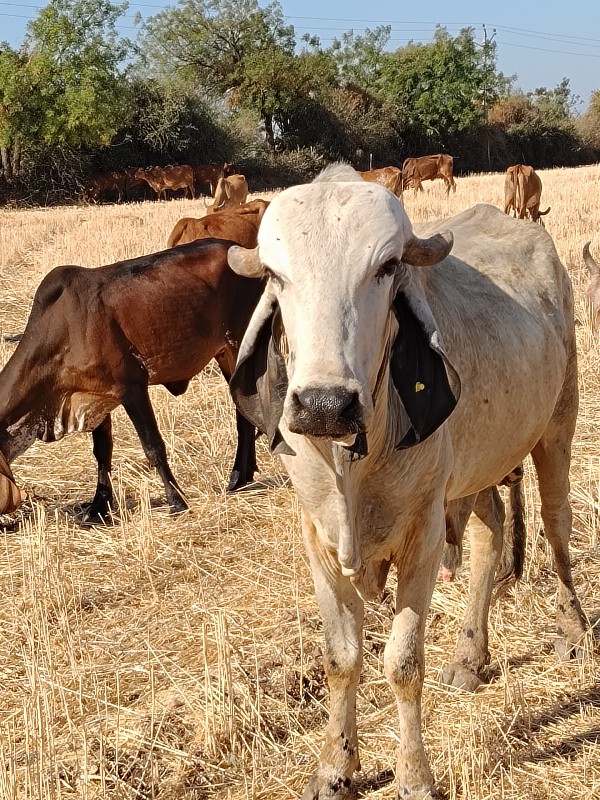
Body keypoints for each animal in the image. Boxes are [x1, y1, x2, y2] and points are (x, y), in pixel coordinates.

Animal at [0, 238, 262, 524]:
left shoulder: (132, 387)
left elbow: (153, 446)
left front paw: (177, 501)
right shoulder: (98, 398)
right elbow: (102, 453)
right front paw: (98, 506)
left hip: (238, 346)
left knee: (244, 411)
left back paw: (237, 478)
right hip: (224, 354)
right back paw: (245, 474)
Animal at [226, 164, 584, 800]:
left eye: (387, 267)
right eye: (274, 274)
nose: (325, 405)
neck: (353, 467)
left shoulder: (423, 534)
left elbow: (402, 662)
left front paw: (414, 774)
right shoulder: (318, 537)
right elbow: (341, 659)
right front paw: (335, 769)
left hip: (557, 423)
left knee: (556, 525)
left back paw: (573, 626)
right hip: (475, 470)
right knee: (491, 535)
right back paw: (471, 654)